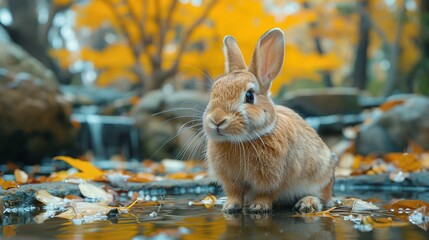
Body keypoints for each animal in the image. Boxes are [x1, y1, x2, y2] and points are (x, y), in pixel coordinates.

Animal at [202, 28, 336, 214]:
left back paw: (306, 204)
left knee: (322, 199)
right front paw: (230, 207)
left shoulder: (275, 179)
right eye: (213, 92)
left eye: (249, 96)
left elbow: (267, 193)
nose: (217, 120)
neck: (241, 141)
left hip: (320, 178)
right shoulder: (232, 181)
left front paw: (258, 207)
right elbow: (235, 194)